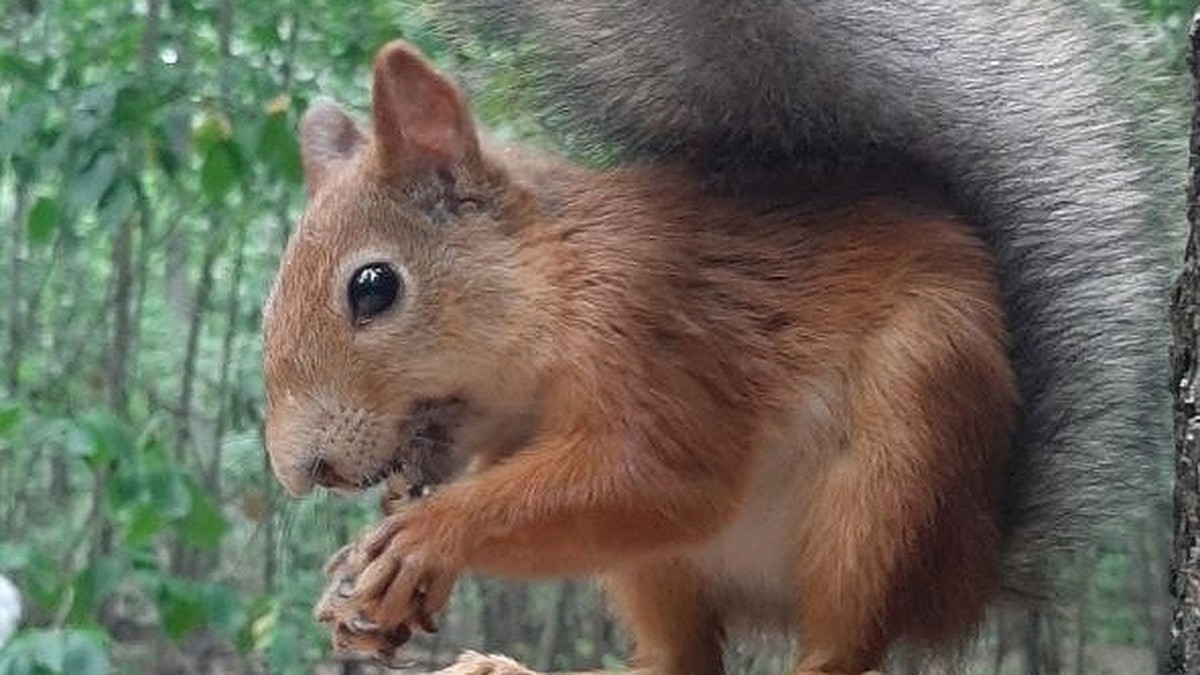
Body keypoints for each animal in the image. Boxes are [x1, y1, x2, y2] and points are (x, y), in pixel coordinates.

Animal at [258, 2, 1166, 667]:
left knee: (845, 643)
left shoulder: (658, 328)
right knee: (680, 656)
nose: (303, 471)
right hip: (660, 568)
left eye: (373, 287)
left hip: (897, 471)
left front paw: (425, 536)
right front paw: (365, 590)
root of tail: (971, 570)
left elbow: (658, 477)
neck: (561, 288)